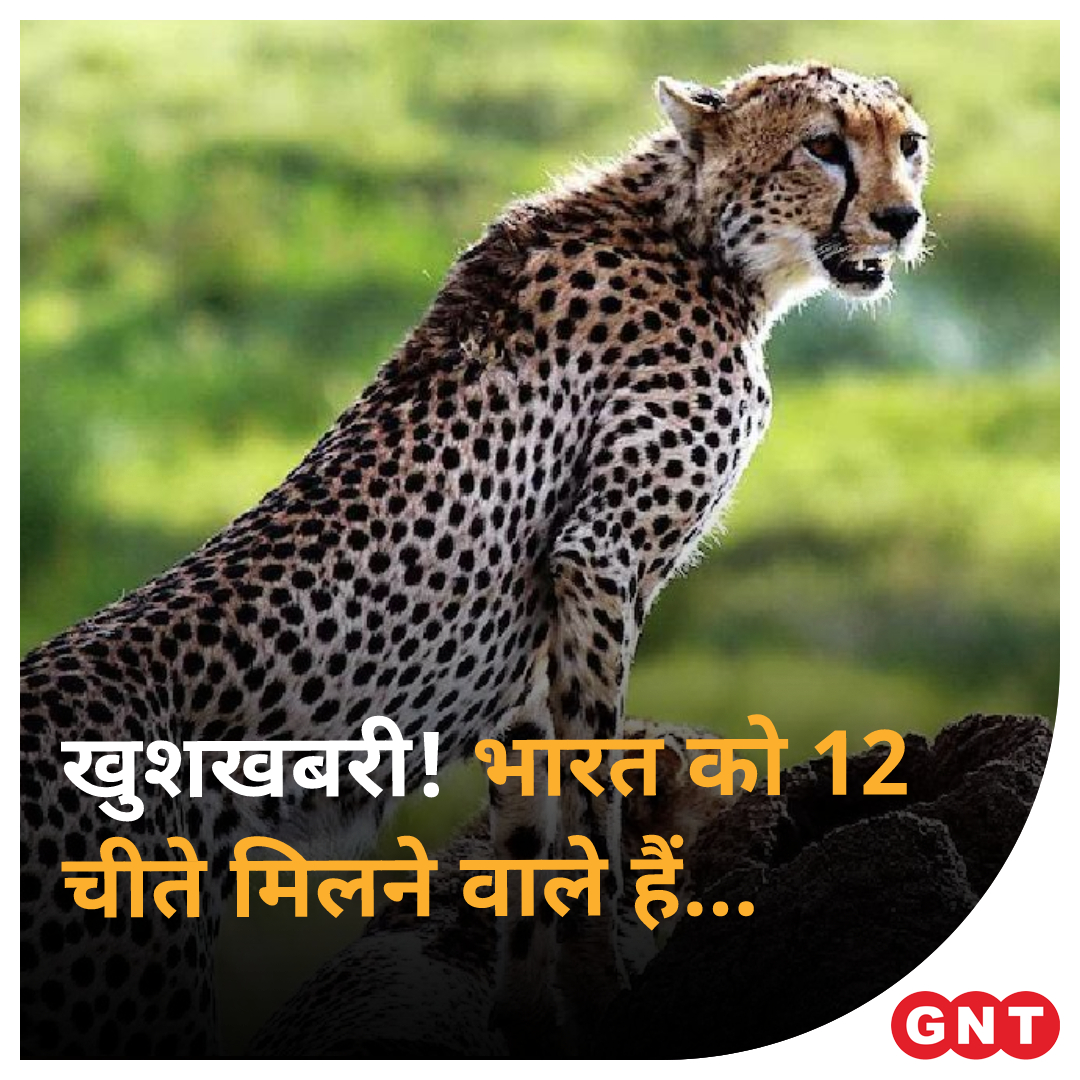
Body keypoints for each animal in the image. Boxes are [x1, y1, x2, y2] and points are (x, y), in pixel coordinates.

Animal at [20, 60, 930, 1058]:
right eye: (824, 146)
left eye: (909, 143)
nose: (902, 218)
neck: (699, 237)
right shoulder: (599, 560)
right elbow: (594, 813)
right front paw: (610, 991)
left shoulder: (531, 674)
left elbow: (531, 853)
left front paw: (533, 1018)